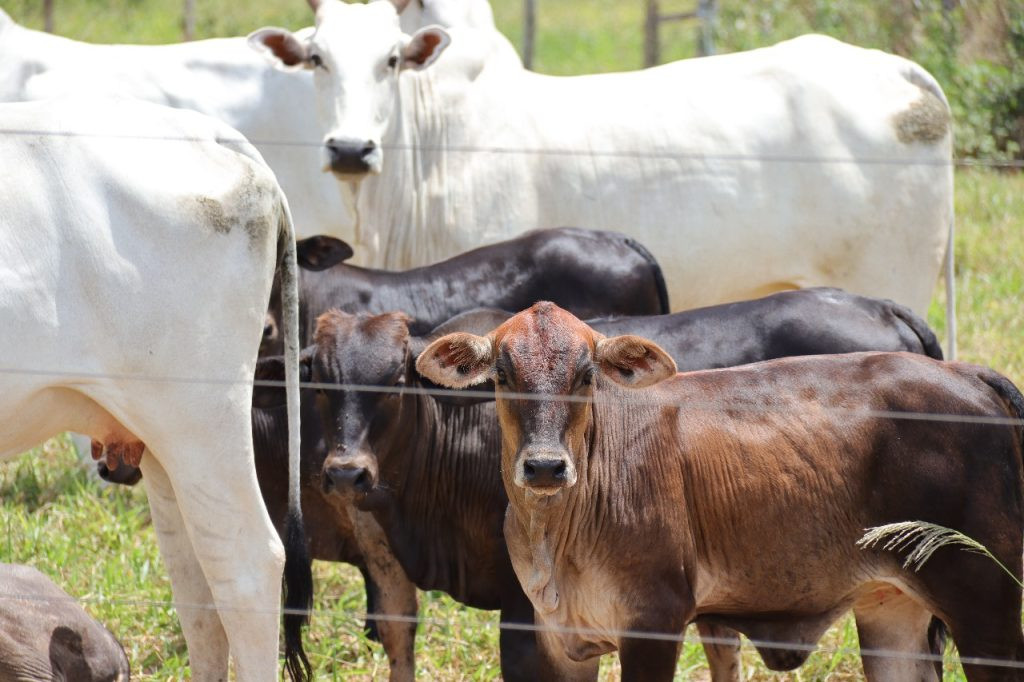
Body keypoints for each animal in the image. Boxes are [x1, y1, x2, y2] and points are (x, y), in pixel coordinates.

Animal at [415, 303, 1024, 679]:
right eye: (502, 375)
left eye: (587, 376)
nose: (545, 468)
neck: (558, 534)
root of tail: (969, 374)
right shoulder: (561, 639)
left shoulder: (654, 624)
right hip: (892, 610)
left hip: (988, 608)